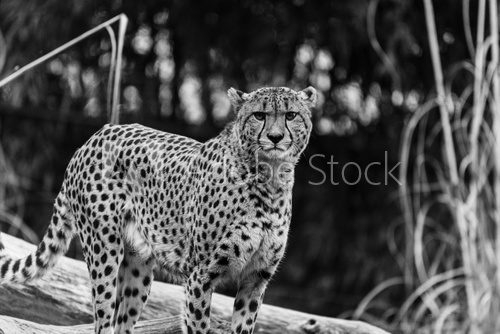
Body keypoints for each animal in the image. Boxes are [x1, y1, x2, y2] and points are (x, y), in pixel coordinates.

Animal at [0, 87, 316, 334]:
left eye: (291, 115)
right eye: (259, 115)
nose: (275, 137)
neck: (269, 179)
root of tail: (93, 138)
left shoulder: (255, 279)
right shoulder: (200, 276)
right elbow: (198, 325)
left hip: (137, 267)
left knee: (122, 322)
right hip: (104, 252)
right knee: (102, 320)